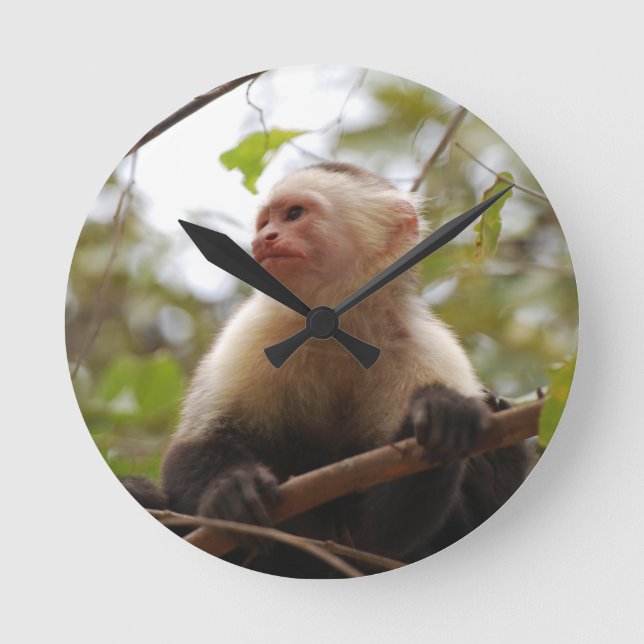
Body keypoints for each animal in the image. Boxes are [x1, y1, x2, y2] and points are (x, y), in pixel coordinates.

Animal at [122, 162, 527, 577]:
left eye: (294, 214)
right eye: (265, 221)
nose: (264, 238)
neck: (334, 327)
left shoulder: (431, 352)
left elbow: (382, 538)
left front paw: (443, 415)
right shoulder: (252, 332)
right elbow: (195, 445)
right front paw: (232, 491)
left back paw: (498, 472)